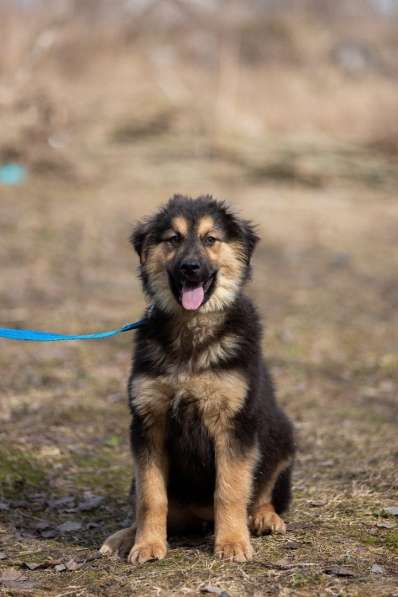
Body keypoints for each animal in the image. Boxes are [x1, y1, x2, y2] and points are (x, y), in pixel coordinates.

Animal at [101, 196, 294, 564]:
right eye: (173, 239)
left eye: (210, 239)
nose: (190, 268)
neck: (191, 332)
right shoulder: (148, 424)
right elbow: (151, 496)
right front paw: (147, 544)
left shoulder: (234, 424)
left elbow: (230, 489)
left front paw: (232, 542)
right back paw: (125, 536)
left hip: (282, 437)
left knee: (262, 492)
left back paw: (264, 518)